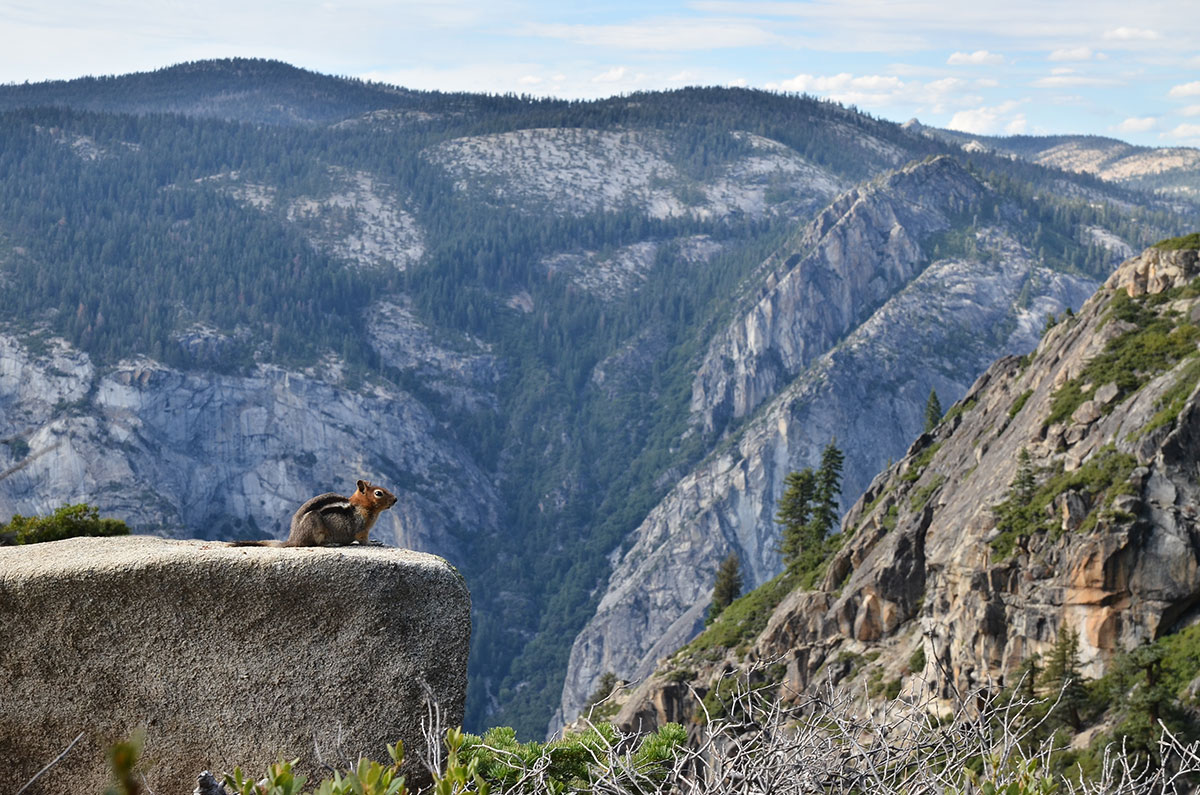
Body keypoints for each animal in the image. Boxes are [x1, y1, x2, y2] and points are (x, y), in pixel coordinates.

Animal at [232, 480, 398, 547]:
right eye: (378, 493)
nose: (396, 499)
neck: (361, 506)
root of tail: (293, 539)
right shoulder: (362, 529)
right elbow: (363, 540)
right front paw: (373, 543)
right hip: (315, 524)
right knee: (317, 543)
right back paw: (332, 543)